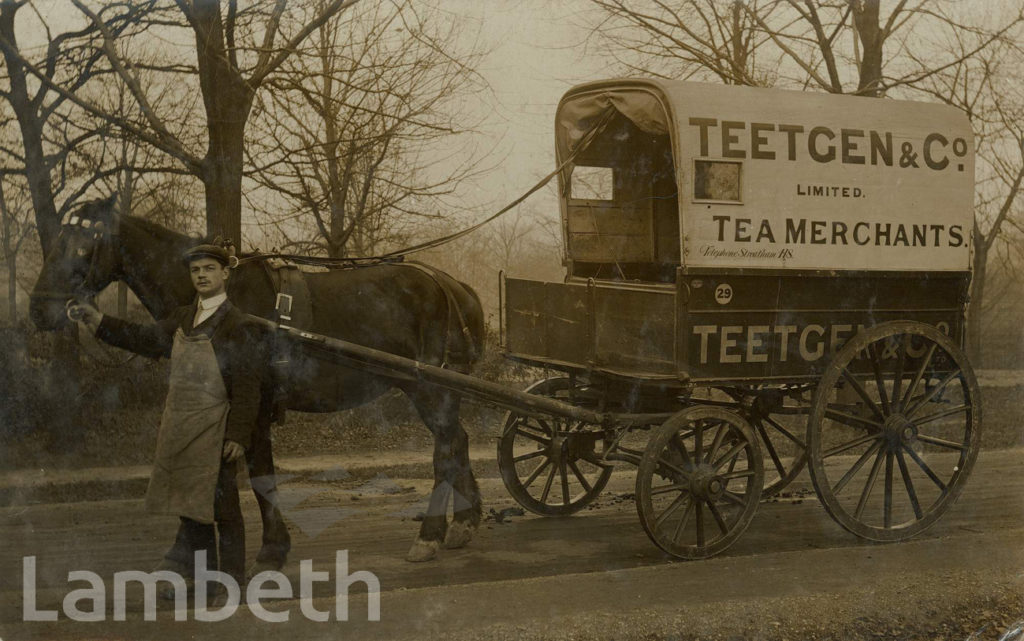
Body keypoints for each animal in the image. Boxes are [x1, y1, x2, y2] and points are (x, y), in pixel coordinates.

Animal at [28, 193, 483, 557]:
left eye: (84, 247)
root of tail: (450, 285)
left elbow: (261, 473)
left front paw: (271, 548)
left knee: (445, 449)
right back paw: (464, 522)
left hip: (428, 388)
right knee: (458, 441)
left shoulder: (255, 405)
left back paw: (430, 535)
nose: (39, 309)